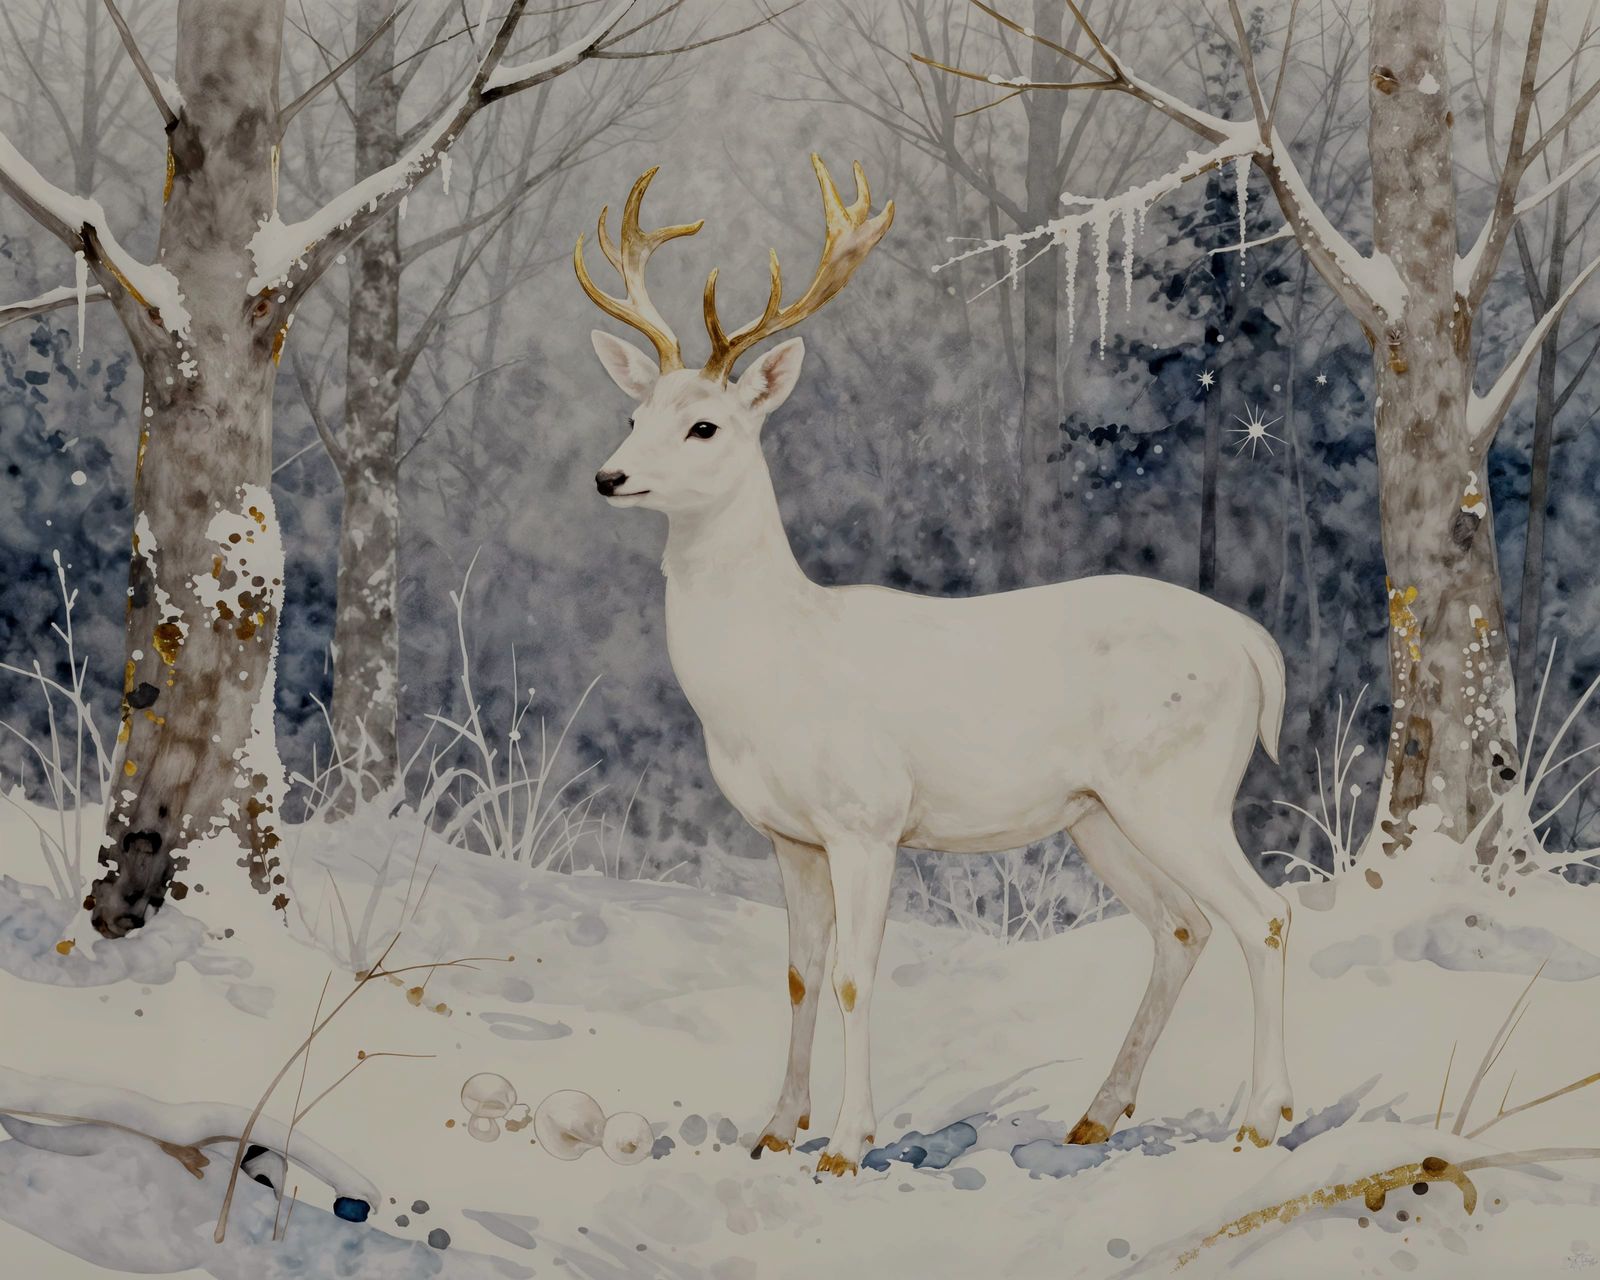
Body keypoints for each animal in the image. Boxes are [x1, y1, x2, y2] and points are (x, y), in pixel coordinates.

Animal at [574, 154, 1293, 1177]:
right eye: (634, 411)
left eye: (705, 427)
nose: (609, 477)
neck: (770, 669)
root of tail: (1253, 645)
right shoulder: (788, 835)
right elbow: (797, 974)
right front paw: (773, 1128)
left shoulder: (867, 819)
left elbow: (853, 975)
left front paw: (846, 1142)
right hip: (1100, 813)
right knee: (1181, 926)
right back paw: (1096, 1115)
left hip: (1181, 788)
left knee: (1262, 916)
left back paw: (1259, 1118)